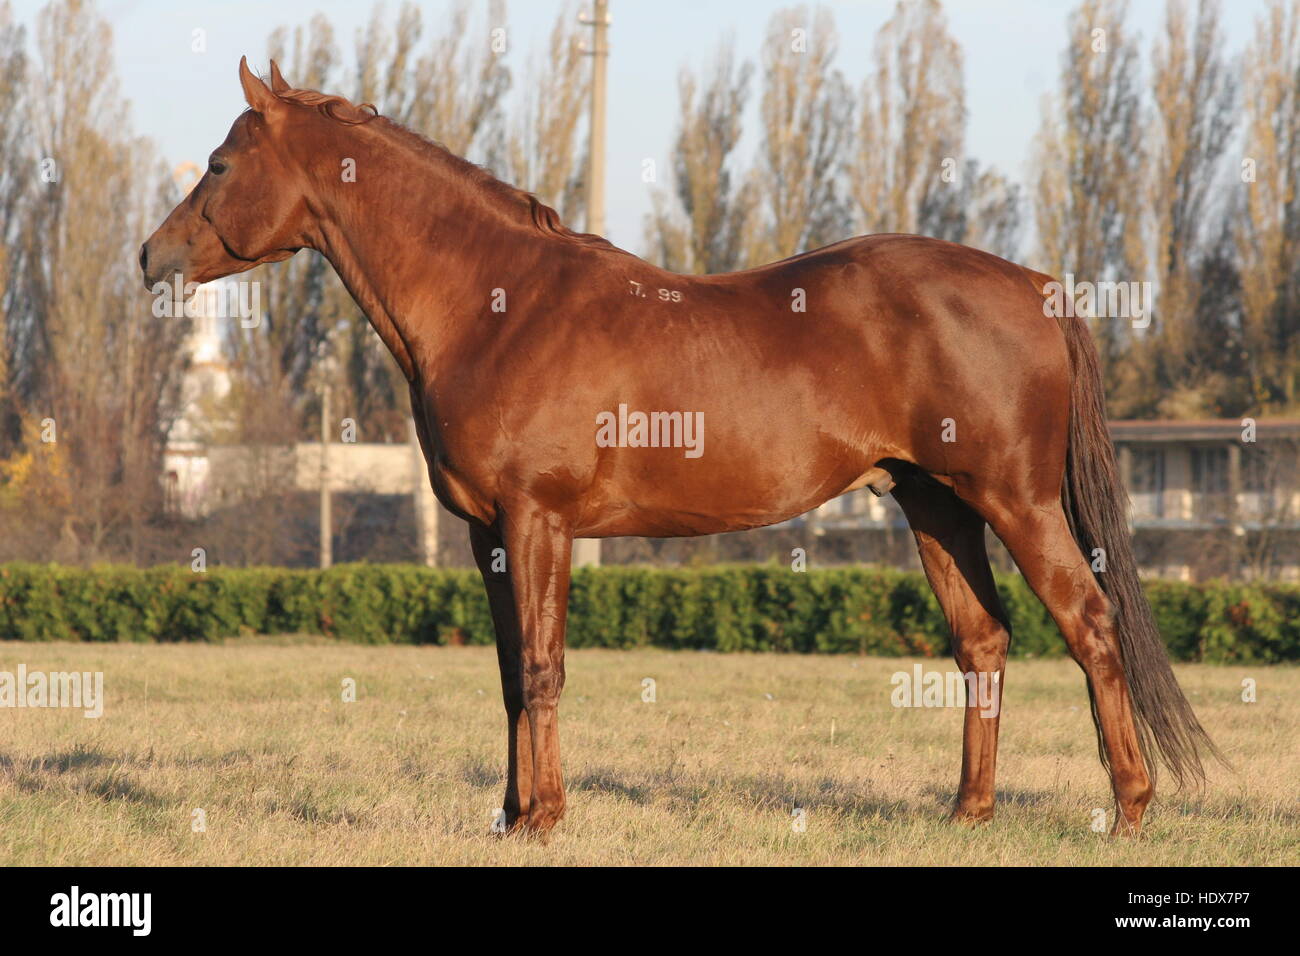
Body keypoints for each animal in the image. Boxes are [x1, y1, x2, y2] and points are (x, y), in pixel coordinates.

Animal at [142, 61, 1216, 837]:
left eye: (221, 165)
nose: (151, 258)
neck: (496, 303)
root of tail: (1035, 284)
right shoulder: (489, 535)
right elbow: (509, 673)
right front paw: (509, 816)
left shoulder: (538, 522)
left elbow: (544, 668)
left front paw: (544, 819)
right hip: (934, 503)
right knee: (982, 641)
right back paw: (968, 813)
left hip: (1015, 500)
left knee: (1090, 624)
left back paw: (1129, 808)